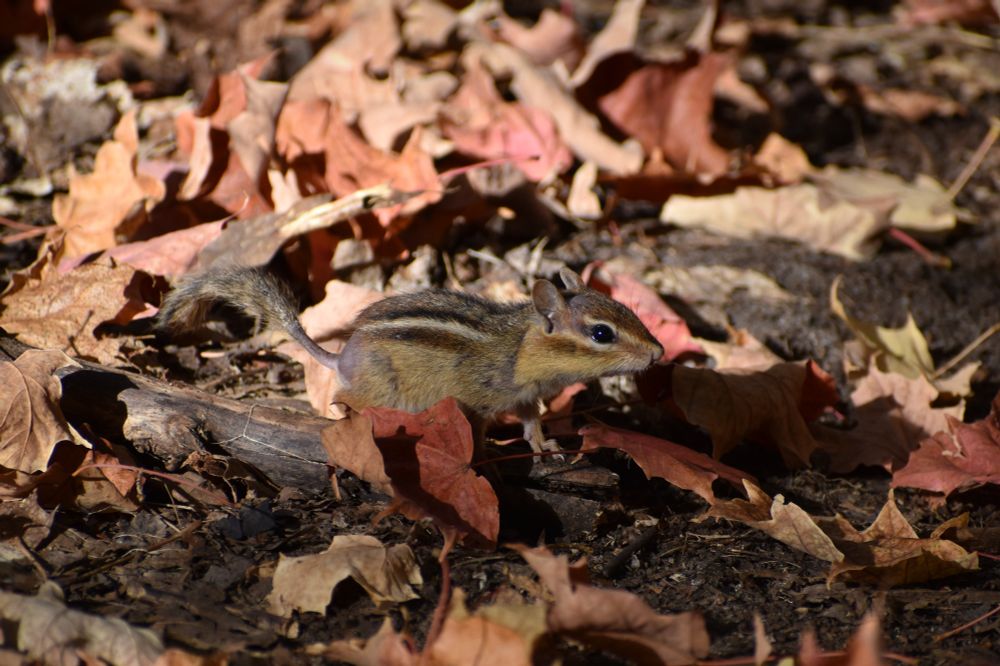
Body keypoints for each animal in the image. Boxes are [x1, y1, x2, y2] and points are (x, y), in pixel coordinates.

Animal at [158, 266, 664, 454]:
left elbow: (530, 422)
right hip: (381, 390)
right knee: (344, 399)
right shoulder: (479, 400)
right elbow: (478, 431)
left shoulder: (525, 397)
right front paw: (484, 456)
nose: (659, 352)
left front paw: (545, 446)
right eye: (601, 334)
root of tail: (342, 358)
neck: (520, 347)